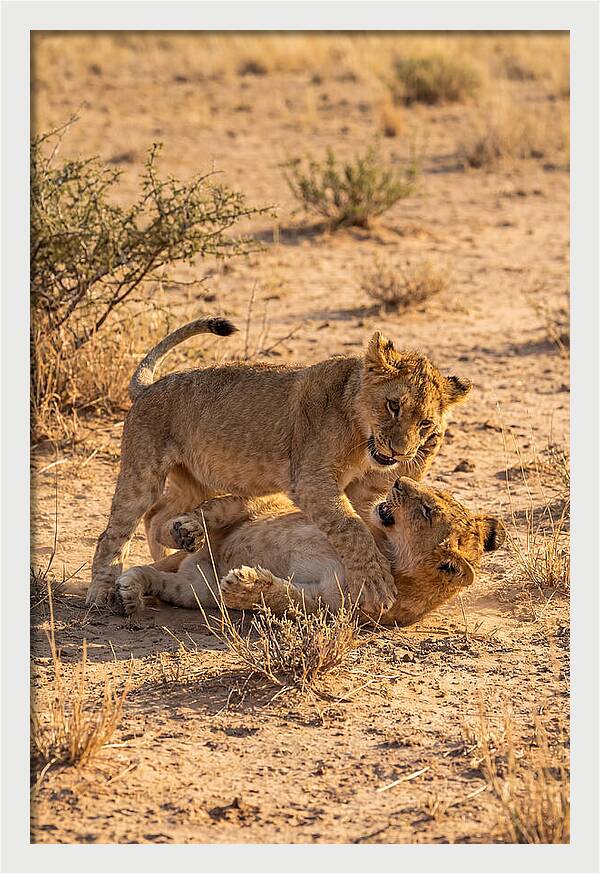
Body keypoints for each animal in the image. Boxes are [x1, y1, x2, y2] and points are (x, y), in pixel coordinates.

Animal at [88, 316, 471, 615]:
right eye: (393, 405)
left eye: (425, 423)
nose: (399, 451)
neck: (360, 435)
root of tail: (149, 387)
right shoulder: (312, 480)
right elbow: (351, 528)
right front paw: (376, 583)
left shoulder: (365, 491)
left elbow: (364, 521)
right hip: (143, 471)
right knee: (114, 533)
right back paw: (102, 593)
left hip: (196, 480)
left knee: (158, 516)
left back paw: (177, 545)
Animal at [115, 477, 505, 626]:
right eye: (433, 494)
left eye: (427, 510)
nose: (397, 481)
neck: (385, 549)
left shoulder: (327, 605)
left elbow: (284, 598)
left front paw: (244, 585)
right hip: (249, 510)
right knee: (215, 510)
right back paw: (183, 533)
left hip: (195, 589)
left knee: (158, 578)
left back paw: (130, 592)